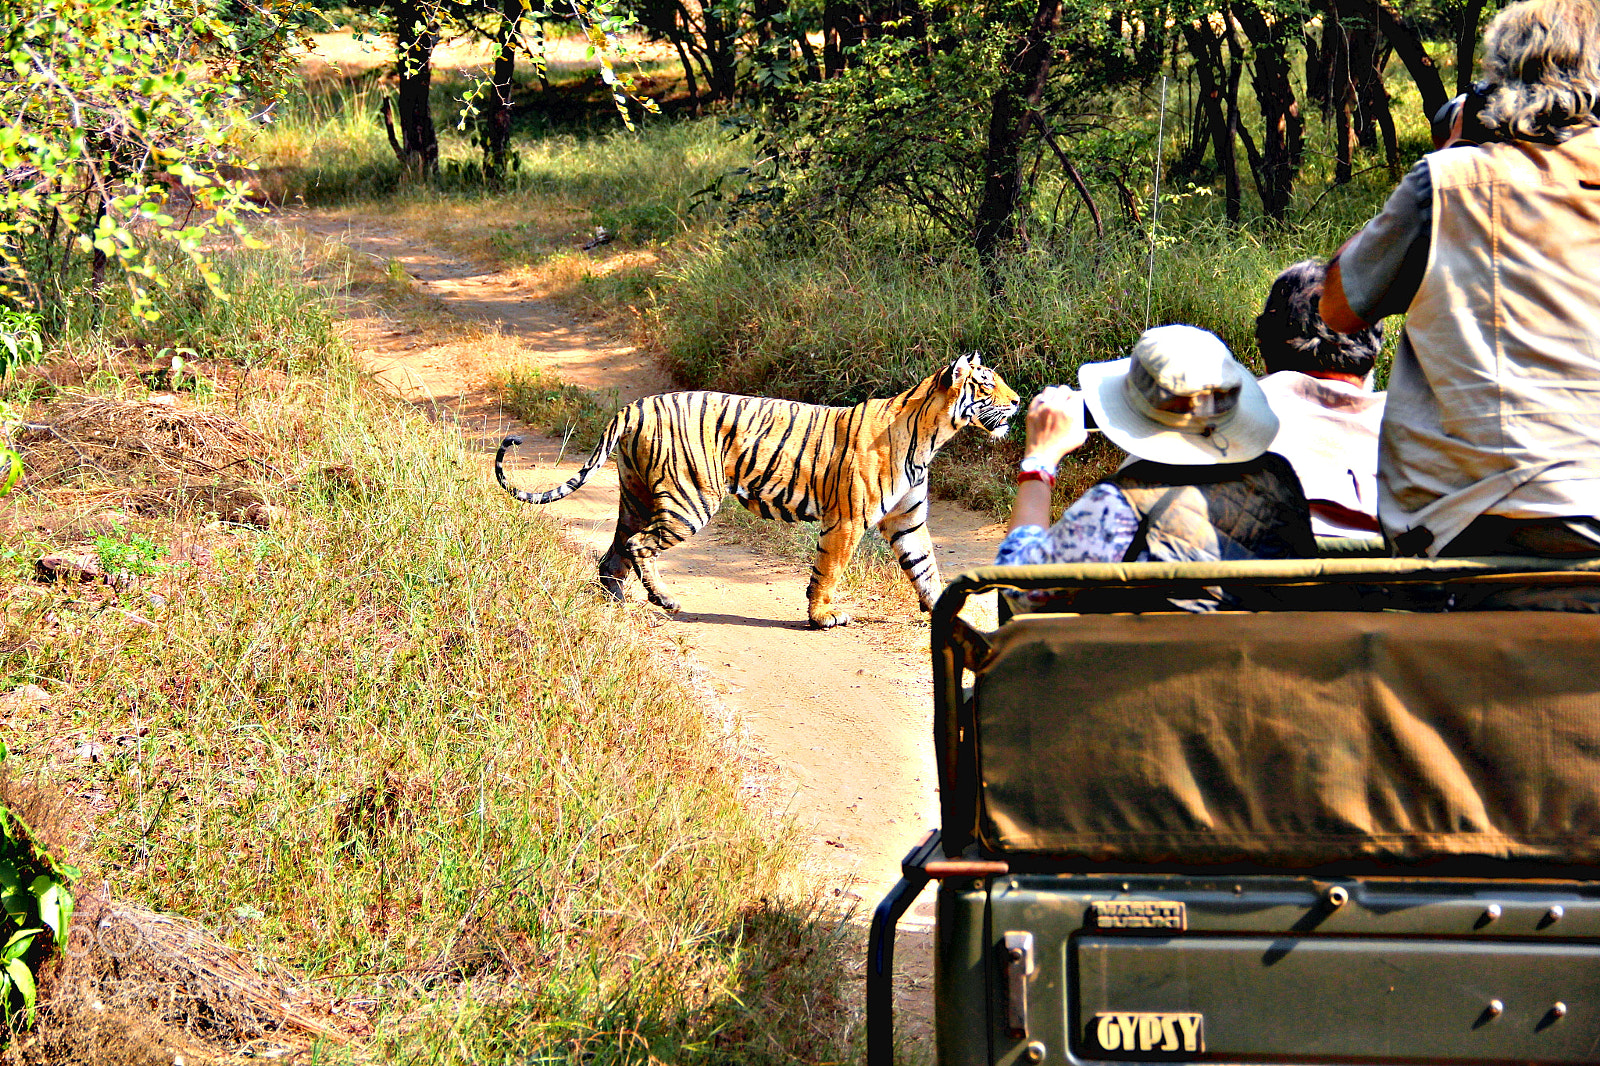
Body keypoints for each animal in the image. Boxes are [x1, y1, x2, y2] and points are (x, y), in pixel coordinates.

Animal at [495, 352, 1020, 628]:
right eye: (987, 385)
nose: (1017, 402)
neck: (934, 434)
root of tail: (637, 404)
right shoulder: (848, 520)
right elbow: (829, 570)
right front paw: (822, 616)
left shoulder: (907, 520)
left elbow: (926, 569)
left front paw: (952, 617)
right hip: (690, 501)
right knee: (640, 545)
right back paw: (665, 601)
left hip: (636, 495)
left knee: (616, 551)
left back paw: (616, 602)